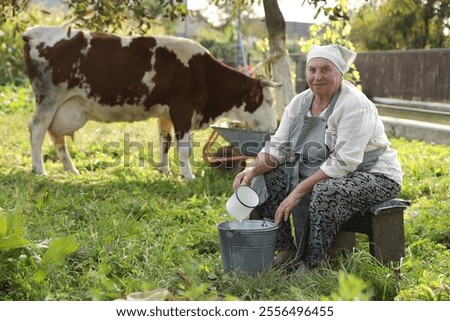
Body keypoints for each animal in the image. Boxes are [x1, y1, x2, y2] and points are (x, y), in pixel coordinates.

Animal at [23, 25, 278, 179]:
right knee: (36, 130)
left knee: (56, 136)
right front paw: (188, 176)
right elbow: (184, 148)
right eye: (267, 101)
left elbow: (164, 142)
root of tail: (33, 32)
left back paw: (71, 169)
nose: (273, 128)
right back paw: (39, 169)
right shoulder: (183, 110)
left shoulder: (166, 114)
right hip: (49, 99)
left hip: (62, 107)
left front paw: (165, 171)